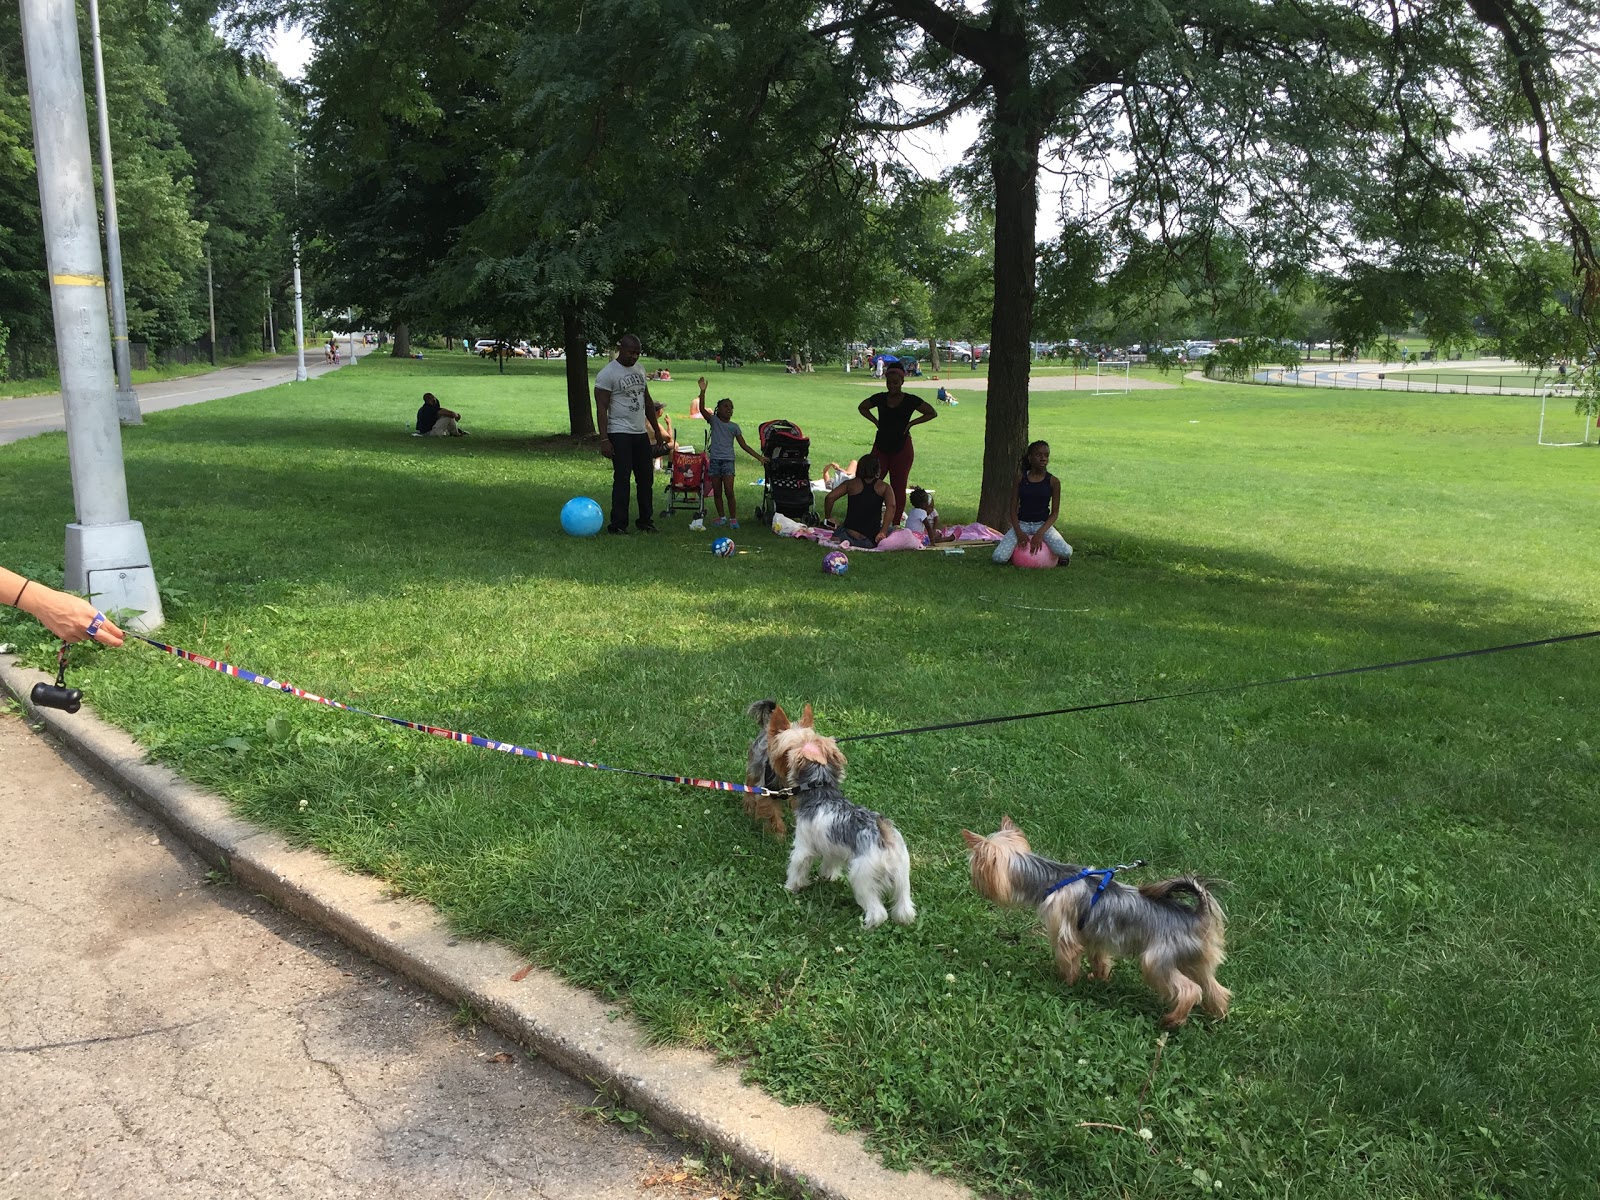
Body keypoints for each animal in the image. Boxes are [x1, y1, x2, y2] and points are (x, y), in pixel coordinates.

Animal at [755, 700, 921, 934]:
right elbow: (830, 864)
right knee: (904, 907)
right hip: (902, 877)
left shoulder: (803, 846)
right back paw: (902, 921)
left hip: (862, 877)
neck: (821, 788)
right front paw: (826, 877)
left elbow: (797, 866)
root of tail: (885, 837)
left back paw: (867, 925)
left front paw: (790, 887)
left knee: (878, 911)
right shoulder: (833, 849)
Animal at [960, 819, 1222, 1036]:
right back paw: (1218, 1014)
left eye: (975, 869)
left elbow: (1067, 960)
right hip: (1196, 961)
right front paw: (1098, 978)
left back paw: (1173, 1020)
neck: (1049, 879)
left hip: (1158, 960)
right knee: (1214, 987)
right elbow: (1099, 959)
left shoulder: (1064, 933)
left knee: (1190, 990)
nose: (973, 883)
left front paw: (1064, 983)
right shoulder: (1094, 936)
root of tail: (1197, 916)